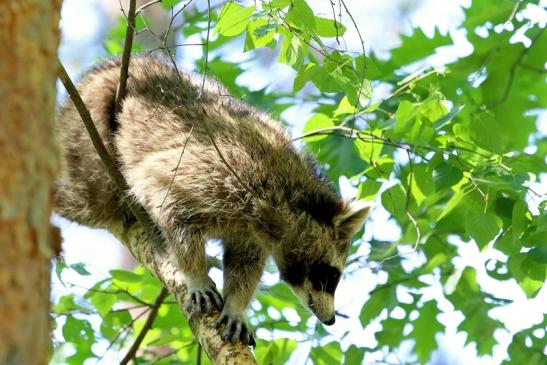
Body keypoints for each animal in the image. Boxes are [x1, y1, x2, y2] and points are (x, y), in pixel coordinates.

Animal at [55, 55, 372, 346]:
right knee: (93, 194)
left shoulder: (252, 231)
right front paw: (195, 272)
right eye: (330, 275)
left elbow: (244, 264)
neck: (287, 198)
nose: (330, 320)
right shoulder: (221, 174)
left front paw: (236, 304)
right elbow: (166, 199)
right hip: (84, 126)